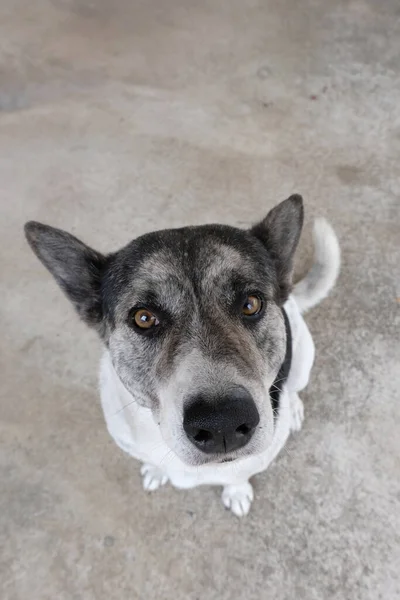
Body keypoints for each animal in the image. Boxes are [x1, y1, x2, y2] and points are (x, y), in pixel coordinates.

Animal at [25, 196, 340, 516]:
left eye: (251, 304)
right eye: (143, 318)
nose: (221, 423)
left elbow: (238, 475)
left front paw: (237, 491)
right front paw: (155, 471)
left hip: (303, 356)